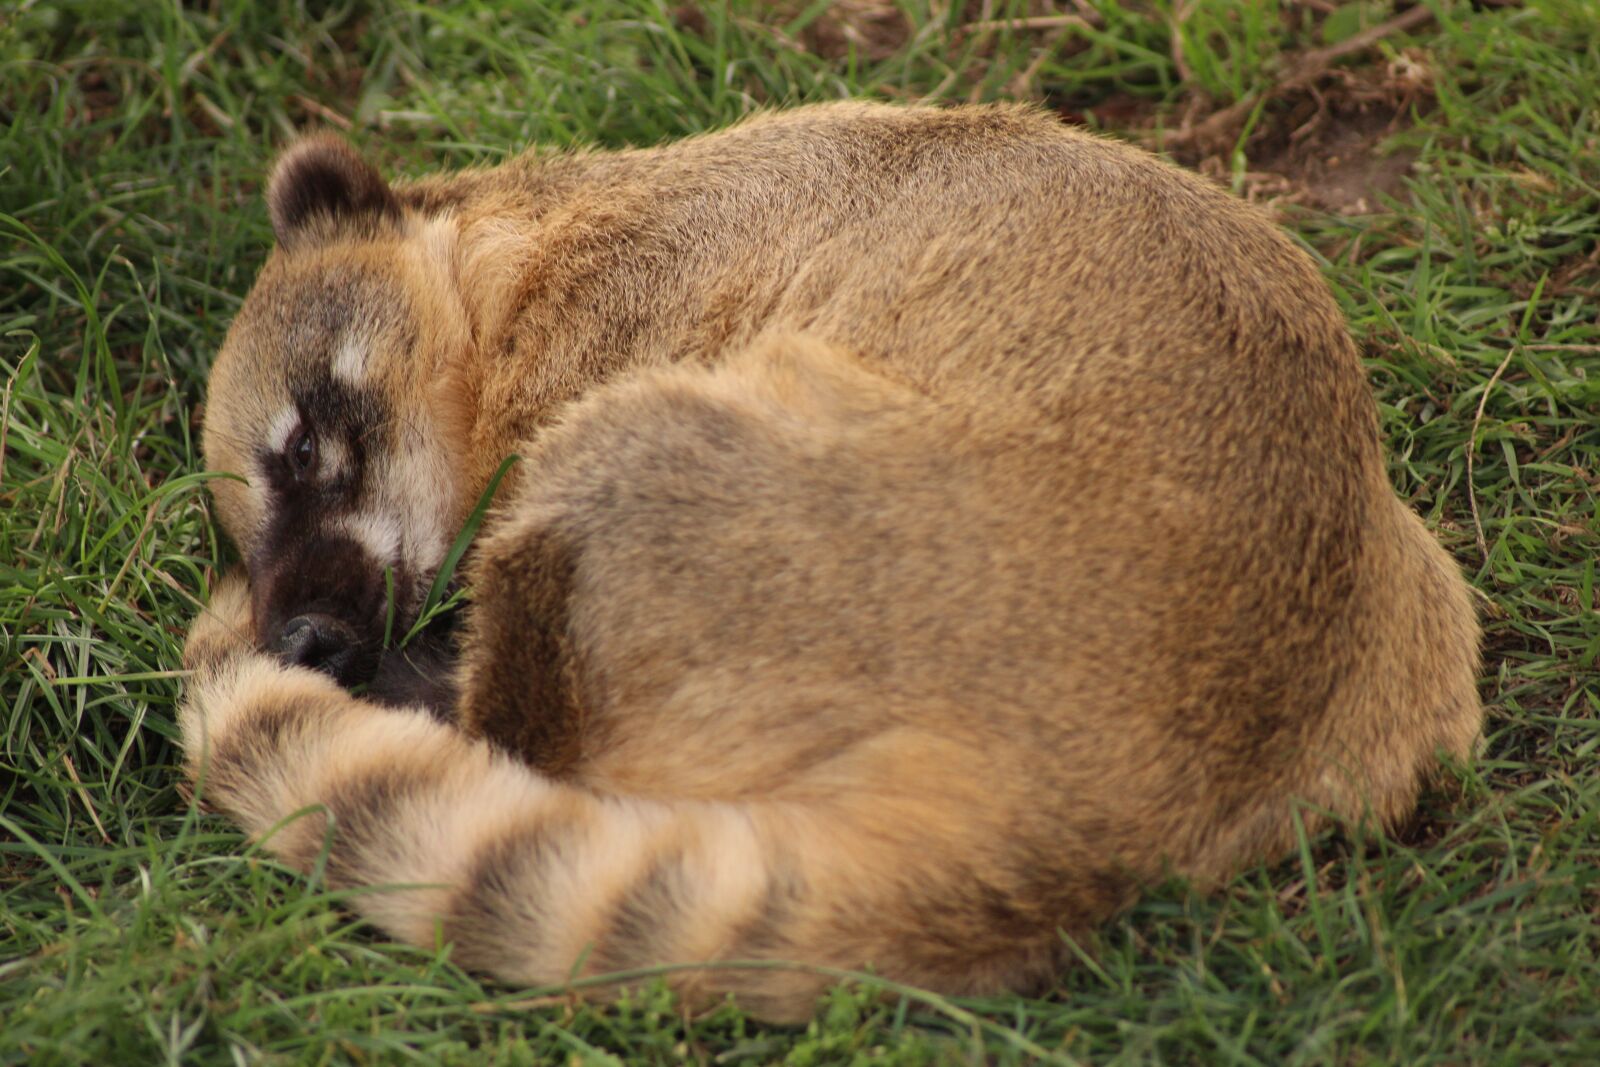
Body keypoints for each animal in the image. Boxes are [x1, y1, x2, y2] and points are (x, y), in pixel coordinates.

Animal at [181, 102, 1483, 1021]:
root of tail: (1116, 797)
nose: (300, 636)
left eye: (305, 445)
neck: (519, 250)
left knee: (555, 651)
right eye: (240, 526)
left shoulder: (628, 314)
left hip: (728, 502)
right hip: (1416, 606)